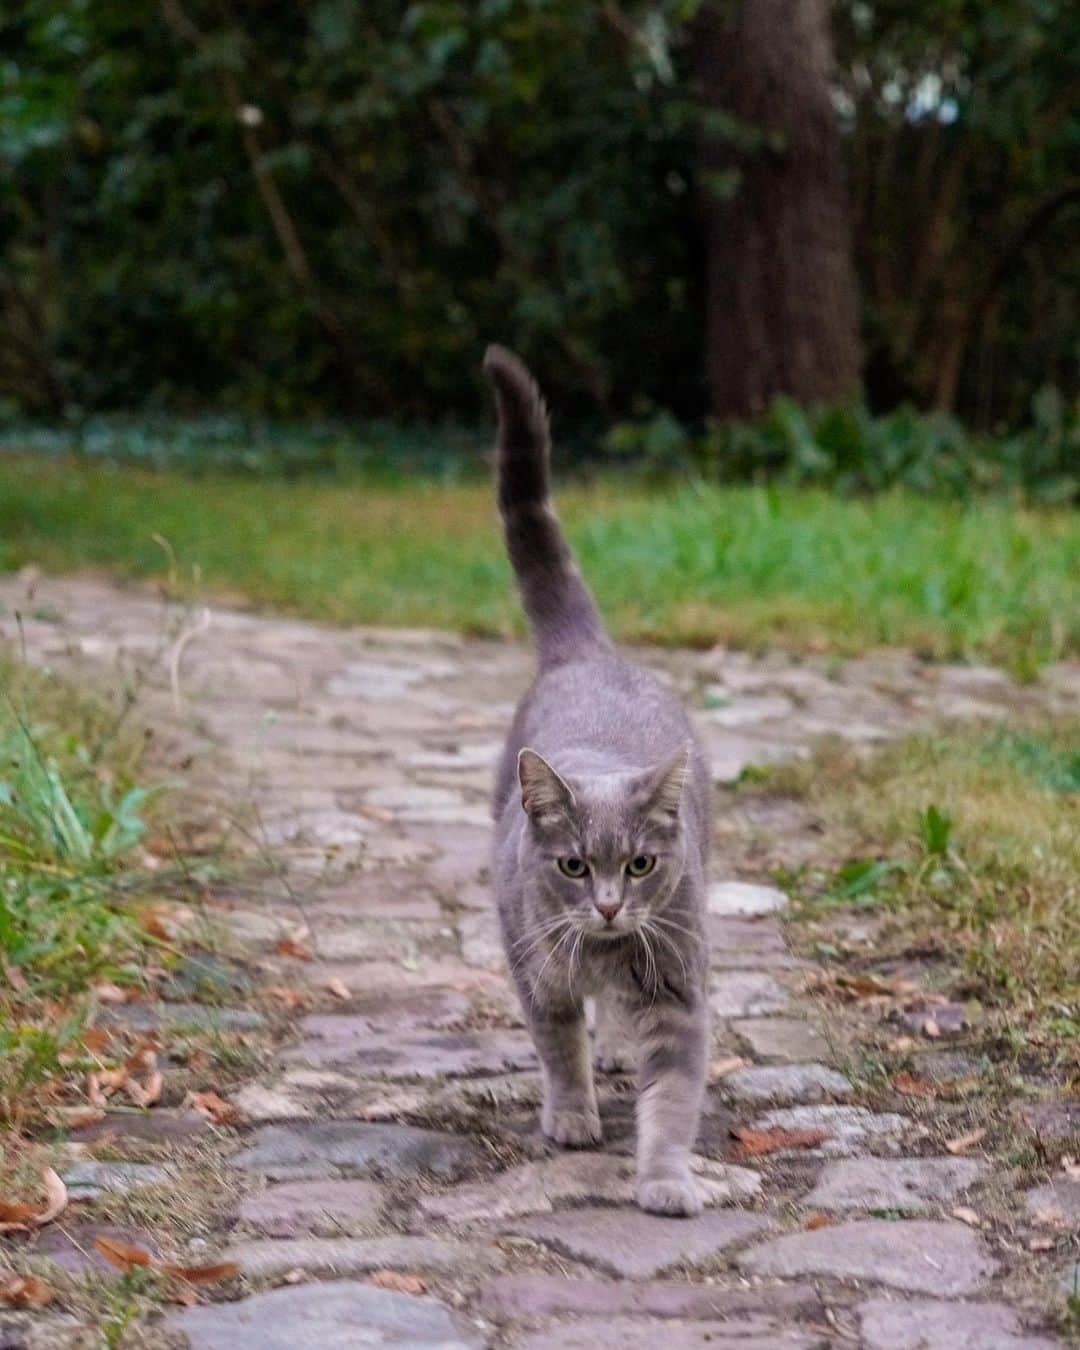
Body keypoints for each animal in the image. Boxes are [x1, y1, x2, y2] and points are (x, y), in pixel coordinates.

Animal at [486, 345, 707, 1215]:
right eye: (574, 865)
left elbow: (673, 1097)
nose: (610, 906)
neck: (605, 955)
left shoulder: (678, 984)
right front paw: (573, 1115)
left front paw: (665, 1179)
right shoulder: (532, 962)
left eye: (640, 864)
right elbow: (556, 1044)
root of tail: (590, 656)